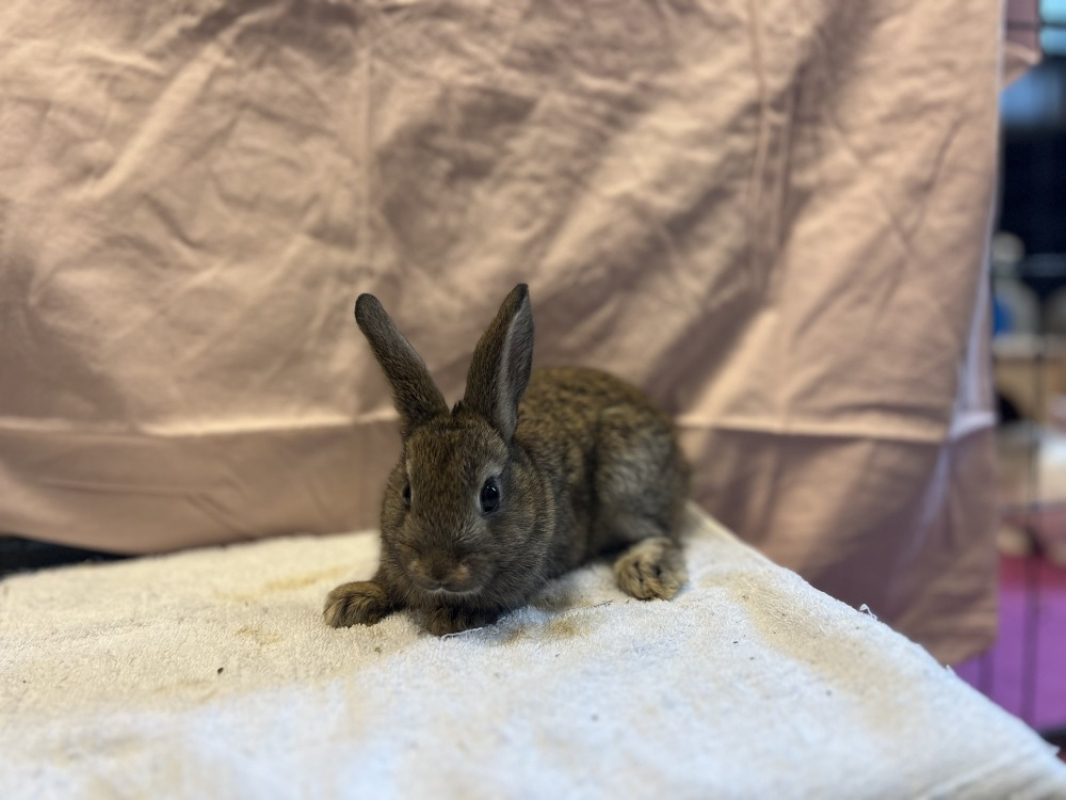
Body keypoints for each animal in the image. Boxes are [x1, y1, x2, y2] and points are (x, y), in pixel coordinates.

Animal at [324, 284, 689, 636]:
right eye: (406, 493)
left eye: (491, 495)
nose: (438, 569)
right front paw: (349, 603)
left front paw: (452, 616)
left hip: (624, 482)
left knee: (661, 533)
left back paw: (644, 572)